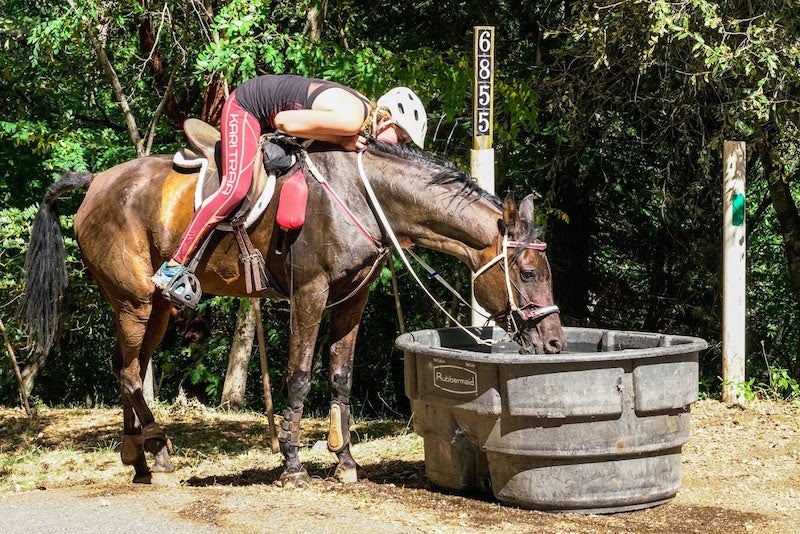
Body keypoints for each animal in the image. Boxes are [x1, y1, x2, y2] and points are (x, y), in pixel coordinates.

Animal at [21, 136, 564, 488]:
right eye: (528, 272)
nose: (555, 342)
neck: (362, 197)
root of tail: (97, 182)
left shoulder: (352, 297)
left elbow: (341, 375)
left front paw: (345, 460)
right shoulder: (310, 292)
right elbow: (300, 376)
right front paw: (293, 464)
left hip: (154, 308)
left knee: (125, 368)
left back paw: (137, 457)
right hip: (135, 302)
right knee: (131, 373)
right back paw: (159, 453)